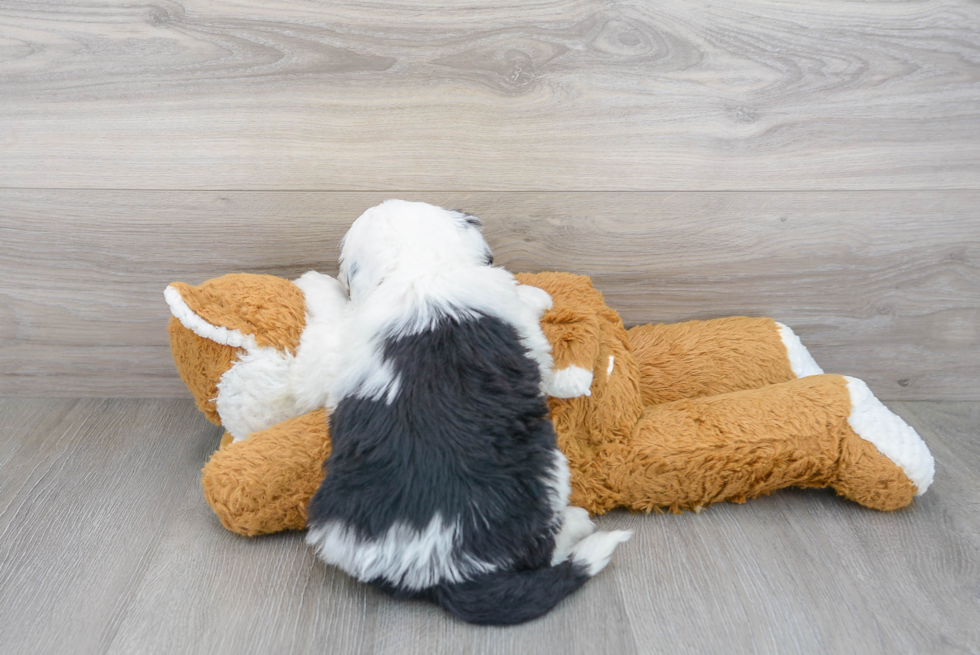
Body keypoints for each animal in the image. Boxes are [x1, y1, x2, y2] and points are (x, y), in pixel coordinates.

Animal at [302, 200, 632, 624]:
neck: (422, 270)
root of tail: (441, 570)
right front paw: (538, 294)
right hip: (548, 471)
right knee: (544, 550)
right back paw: (577, 523)